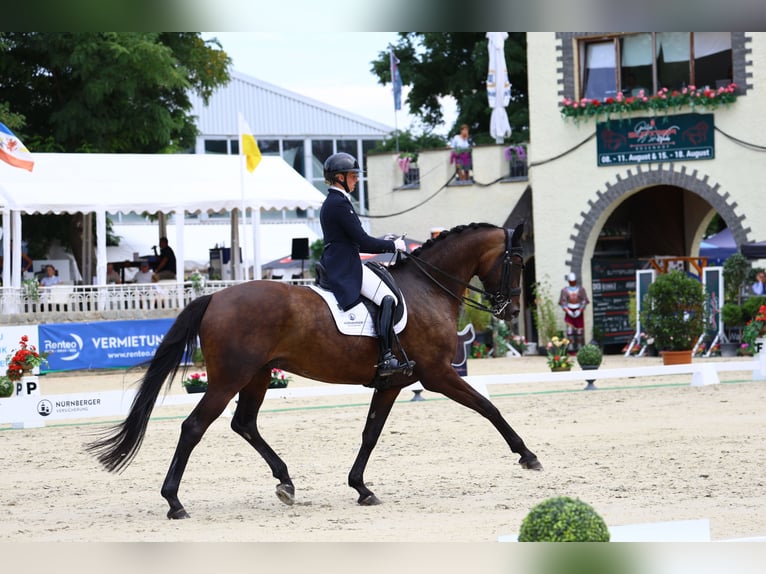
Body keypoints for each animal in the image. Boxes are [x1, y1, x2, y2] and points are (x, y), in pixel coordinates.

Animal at [87, 223, 544, 520]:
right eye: (517, 260)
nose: (511, 310)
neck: (427, 288)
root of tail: (214, 298)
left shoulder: (393, 382)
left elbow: (371, 432)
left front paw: (361, 488)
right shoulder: (437, 374)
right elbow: (488, 407)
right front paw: (527, 455)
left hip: (257, 375)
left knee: (244, 423)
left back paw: (286, 483)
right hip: (230, 378)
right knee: (195, 427)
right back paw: (175, 503)